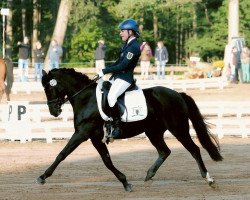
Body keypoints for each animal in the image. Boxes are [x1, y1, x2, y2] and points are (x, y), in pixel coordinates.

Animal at [36, 68, 223, 191]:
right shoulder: (95, 137)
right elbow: (107, 161)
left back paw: (209, 179)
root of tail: (178, 94)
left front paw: (42, 177)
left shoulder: (82, 133)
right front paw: (125, 182)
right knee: (164, 151)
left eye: (49, 88)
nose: (54, 112)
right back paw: (149, 175)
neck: (86, 98)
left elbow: (62, 154)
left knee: (194, 149)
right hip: (153, 132)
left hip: (178, 129)